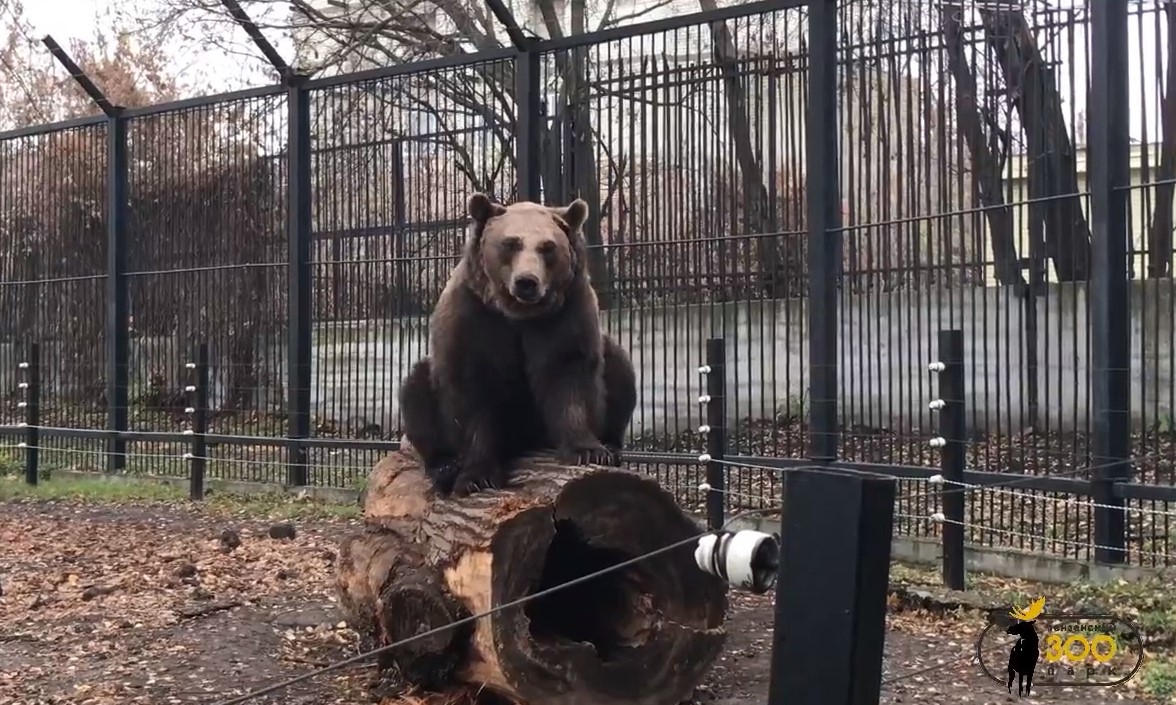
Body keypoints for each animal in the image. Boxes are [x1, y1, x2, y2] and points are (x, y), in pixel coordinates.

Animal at [397, 191, 639, 496]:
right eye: (510, 243)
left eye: (548, 247)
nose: (527, 282)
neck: (519, 315)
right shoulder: (474, 318)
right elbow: (472, 392)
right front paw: (477, 476)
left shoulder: (564, 316)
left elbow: (569, 374)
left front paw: (588, 450)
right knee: (416, 390)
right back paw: (444, 466)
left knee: (620, 371)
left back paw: (612, 446)